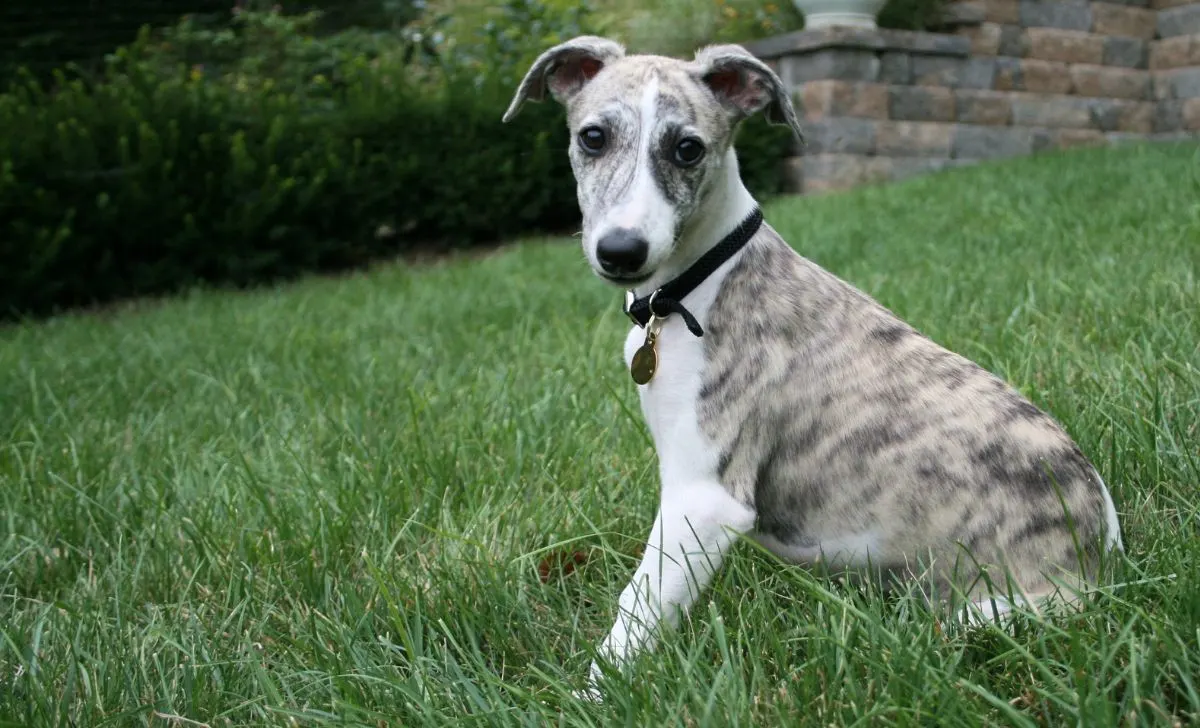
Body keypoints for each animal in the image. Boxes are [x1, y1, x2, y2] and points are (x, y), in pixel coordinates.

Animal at [496, 37, 1123, 695]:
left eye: (688, 148)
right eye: (593, 137)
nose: (621, 252)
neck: (702, 278)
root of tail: (1102, 558)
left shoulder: (703, 499)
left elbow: (637, 608)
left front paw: (592, 697)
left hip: (986, 611)